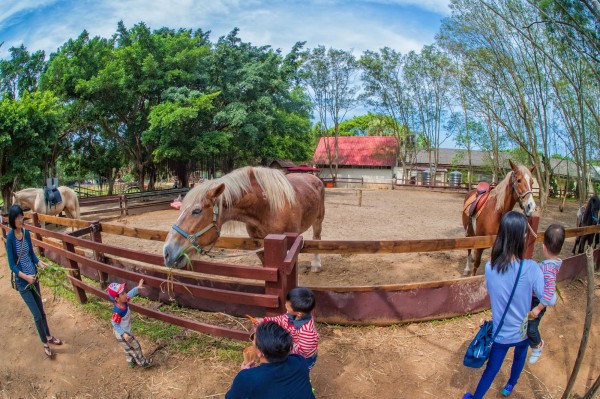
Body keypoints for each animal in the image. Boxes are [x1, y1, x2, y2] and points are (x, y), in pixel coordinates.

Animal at [162, 167, 326, 274]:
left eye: (196, 211)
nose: (167, 252)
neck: (268, 207)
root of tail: (314, 178)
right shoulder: (258, 243)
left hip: (318, 220)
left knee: (317, 239)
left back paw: (316, 265)